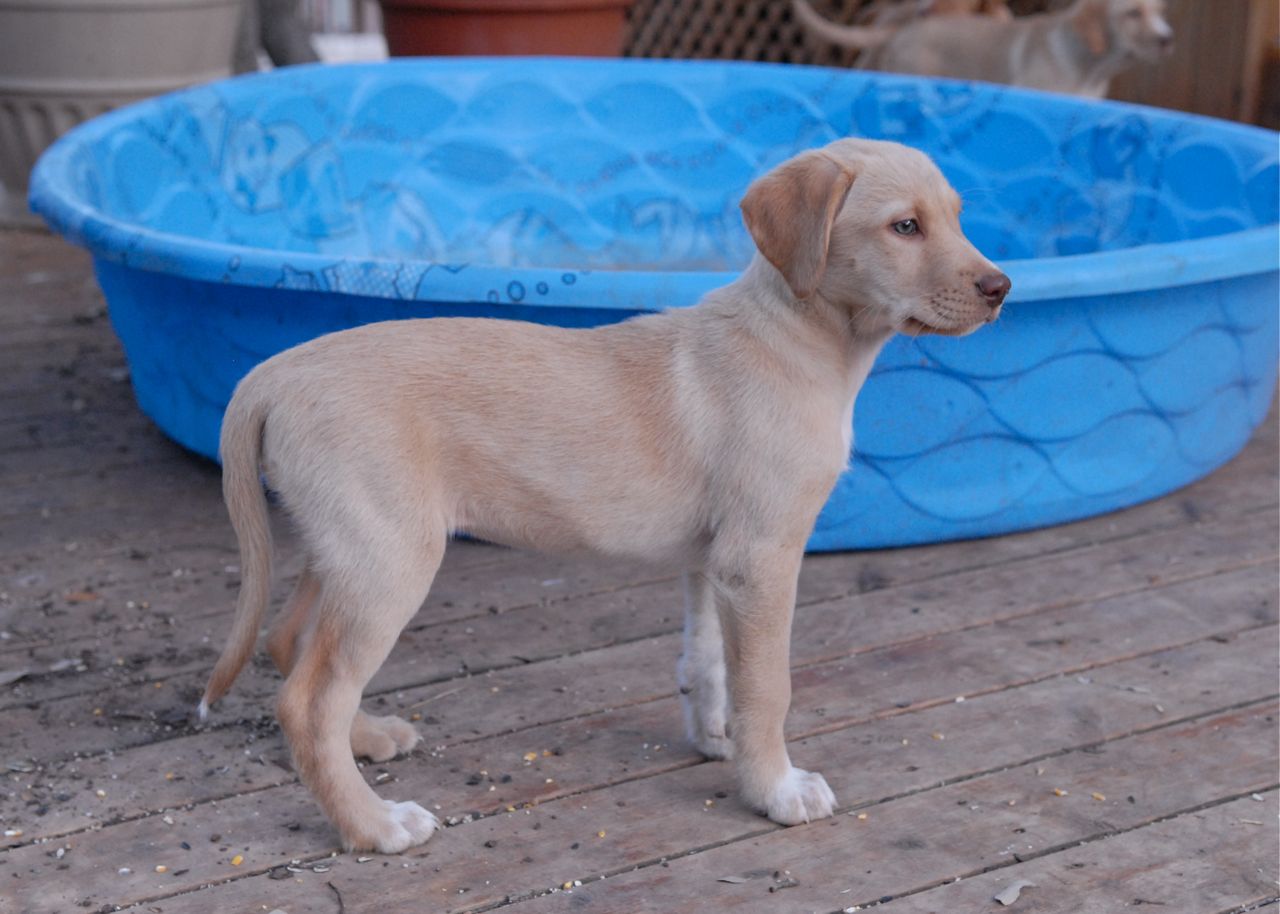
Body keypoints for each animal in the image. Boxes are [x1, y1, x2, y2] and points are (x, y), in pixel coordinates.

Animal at [198, 138, 1010, 853]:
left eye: (957, 216)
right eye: (904, 226)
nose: (1001, 290)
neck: (798, 334)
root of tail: (270, 375)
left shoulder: (714, 560)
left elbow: (708, 662)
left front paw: (714, 738)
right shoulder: (762, 556)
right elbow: (767, 687)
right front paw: (775, 788)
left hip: (346, 546)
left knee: (291, 647)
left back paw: (368, 739)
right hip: (390, 557)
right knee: (308, 703)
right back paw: (374, 826)